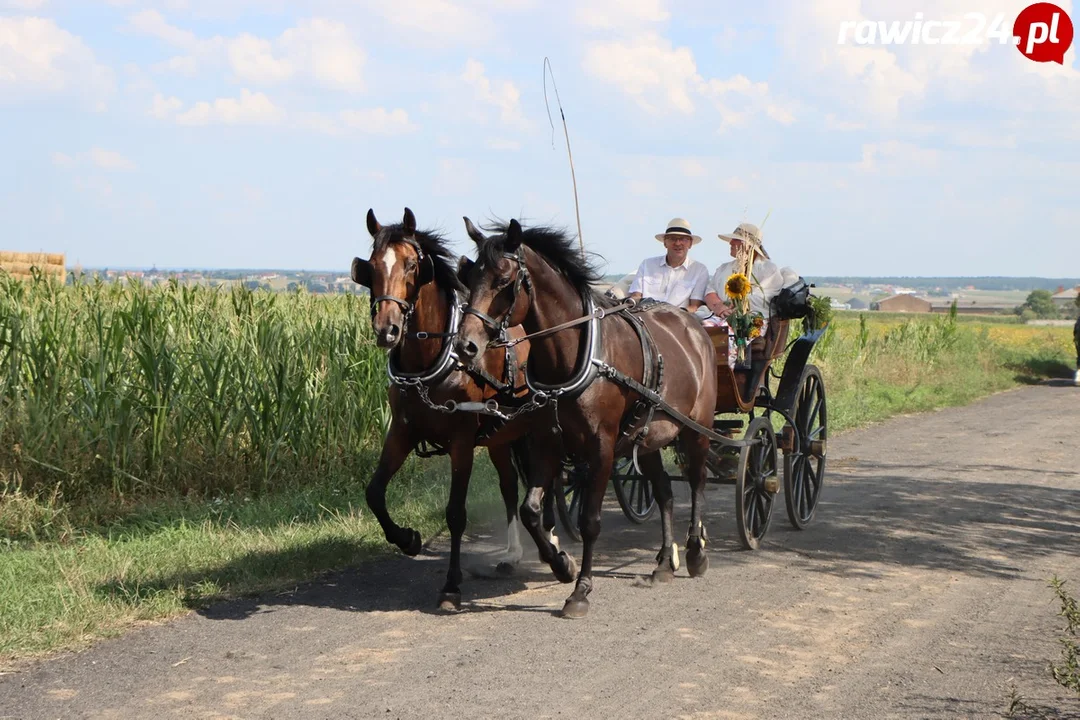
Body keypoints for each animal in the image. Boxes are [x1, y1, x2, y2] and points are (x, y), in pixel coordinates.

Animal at [352, 207, 565, 608]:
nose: (387, 330)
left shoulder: (462, 441)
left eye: (411, 265)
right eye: (370, 267)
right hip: (503, 435)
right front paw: (408, 539)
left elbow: (455, 513)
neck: (431, 360)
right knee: (510, 485)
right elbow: (374, 493)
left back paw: (553, 537)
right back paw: (513, 553)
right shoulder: (402, 430)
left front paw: (451, 584)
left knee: (551, 480)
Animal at [453, 216, 717, 617]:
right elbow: (530, 510)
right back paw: (661, 563)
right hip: (648, 436)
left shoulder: (602, 449)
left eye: (503, 280)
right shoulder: (546, 443)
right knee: (665, 492)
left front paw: (581, 590)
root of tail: (692, 325)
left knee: (698, 480)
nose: (464, 346)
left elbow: (589, 521)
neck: (575, 355)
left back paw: (695, 552)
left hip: (696, 430)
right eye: (470, 276)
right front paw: (562, 564)